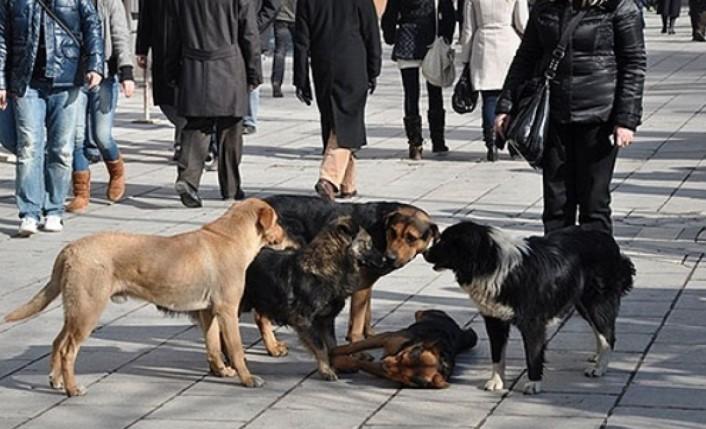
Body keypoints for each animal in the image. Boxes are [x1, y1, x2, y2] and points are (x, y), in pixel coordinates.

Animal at [3, 199, 284, 396]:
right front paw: (247, 379)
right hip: (88, 311)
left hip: (75, 310)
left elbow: (213, 345)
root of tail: (70, 249)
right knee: (67, 350)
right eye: (278, 221)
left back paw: (56, 381)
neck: (230, 237)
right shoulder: (227, 310)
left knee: (57, 342)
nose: (286, 236)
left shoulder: (208, 311)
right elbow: (236, 350)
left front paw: (221, 371)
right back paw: (73, 389)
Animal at [242, 216, 384, 380]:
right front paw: (326, 370)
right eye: (368, 244)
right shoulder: (304, 320)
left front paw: (341, 364)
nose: (385, 259)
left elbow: (333, 346)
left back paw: (272, 348)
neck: (328, 267)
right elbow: (321, 347)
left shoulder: (326, 320)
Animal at [250, 195, 432, 354]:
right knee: (260, 315)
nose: (389, 257)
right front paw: (358, 346)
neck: (381, 229)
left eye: (411, 238)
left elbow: (366, 313)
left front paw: (370, 336)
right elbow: (358, 320)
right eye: (393, 232)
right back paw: (272, 347)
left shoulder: (366, 284)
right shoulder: (360, 286)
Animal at [330, 310, 478, 386]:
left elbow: (360, 363)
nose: (384, 363)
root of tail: (458, 329)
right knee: (419, 312)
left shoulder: (385, 372)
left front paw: (340, 362)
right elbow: (352, 346)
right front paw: (332, 351)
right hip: (429, 313)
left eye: (403, 375)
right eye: (402, 357)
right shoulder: (387, 337)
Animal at [420, 222, 636, 392]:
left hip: (596, 302)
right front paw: (496, 381)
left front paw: (534, 383)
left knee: (608, 334)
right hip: (582, 303)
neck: (490, 263)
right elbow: (497, 355)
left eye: (445, 242)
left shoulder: (533, 323)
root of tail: (606, 237)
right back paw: (597, 357)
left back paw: (600, 367)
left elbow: (533, 355)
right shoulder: (494, 320)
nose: (425, 253)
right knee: (600, 332)